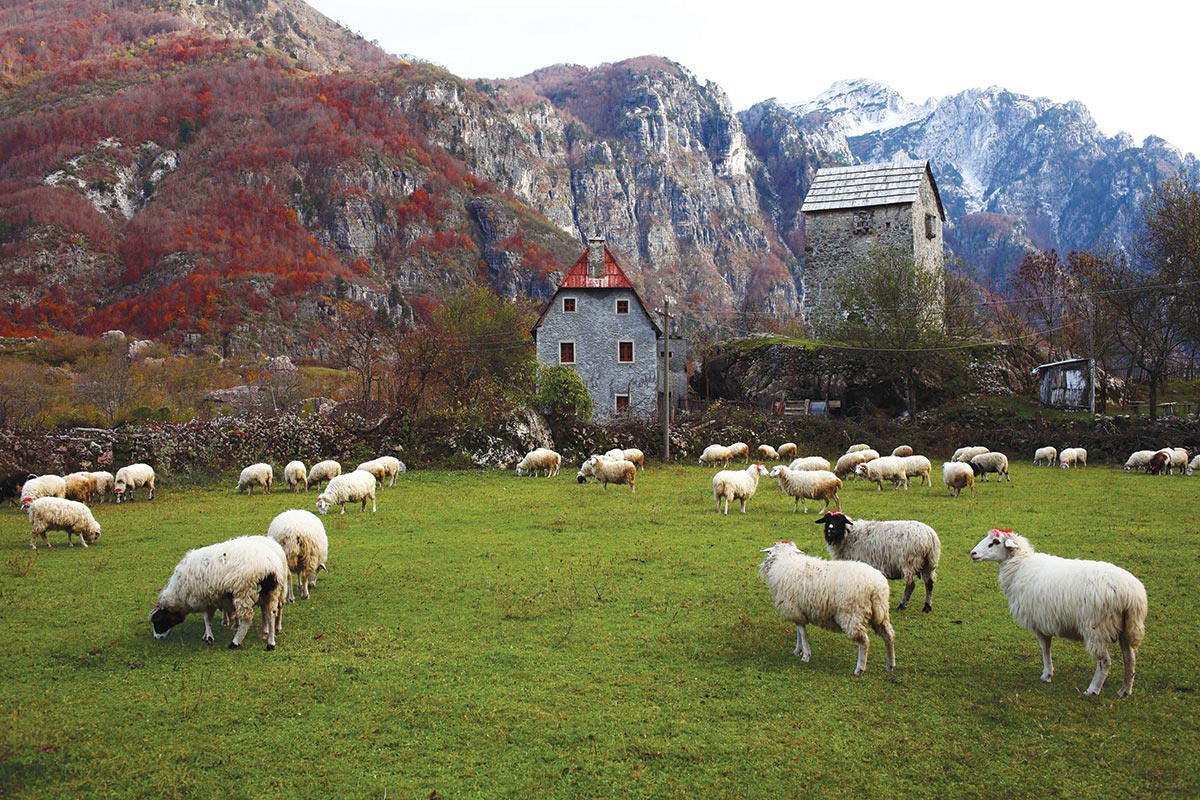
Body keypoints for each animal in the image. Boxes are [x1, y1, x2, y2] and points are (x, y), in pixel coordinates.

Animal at [150, 532, 288, 652]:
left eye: (158, 621)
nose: (156, 638)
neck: (179, 594)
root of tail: (271, 566)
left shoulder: (204, 599)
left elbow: (207, 618)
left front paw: (209, 637)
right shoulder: (211, 600)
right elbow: (208, 618)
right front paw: (207, 635)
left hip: (245, 591)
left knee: (247, 619)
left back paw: (235, 642)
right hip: (271, 593)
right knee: (270, 614)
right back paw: (270, 642)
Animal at [753, 537, 897, 676]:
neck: (785, 559)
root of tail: (877, 587)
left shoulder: (794, 609)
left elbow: (802, 633)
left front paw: (805, 655)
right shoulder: (798, 611)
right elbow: (799, 631)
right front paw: (798, 650)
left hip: (852, 615)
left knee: (864, 641)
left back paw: (859, 669)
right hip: (881, 614)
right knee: (888, 635)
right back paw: (890, 665)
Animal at [964, 527, 1152, 695]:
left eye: (995, 542)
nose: (973, 553)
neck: (1020, 566)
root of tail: (1131, 593)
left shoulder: (1039, 621)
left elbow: (1045, 649)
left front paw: (1046, 674)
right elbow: (1047, 648)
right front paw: (1048, 673)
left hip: (1096, 627)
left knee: (1104, 661)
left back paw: (1093, 690)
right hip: (1127, 627)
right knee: (1130, 659)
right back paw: (1125, 691)